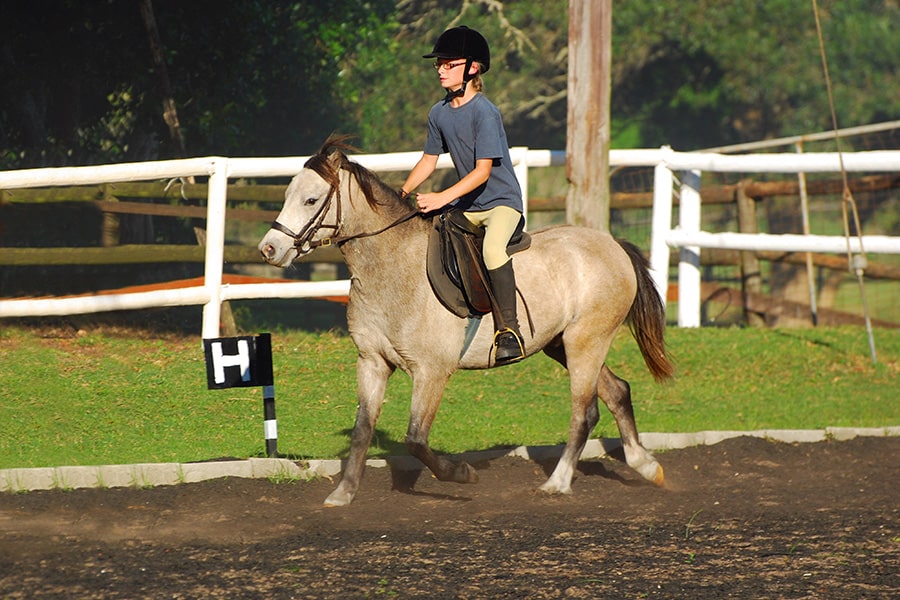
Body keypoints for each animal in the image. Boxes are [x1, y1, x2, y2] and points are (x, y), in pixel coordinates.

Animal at [256, 136, 672, 506]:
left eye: (311, 200)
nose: (269, 249)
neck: (392, 269)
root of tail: (612, 244)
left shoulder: (431, 371)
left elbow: (416, 439)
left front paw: (461, 474)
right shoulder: (372, 362)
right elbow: (363, 429)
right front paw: (343, 493)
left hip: (586, 342)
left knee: (583, 412)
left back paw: (557, 483)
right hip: (563, 344)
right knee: (617, 392)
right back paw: (646, 467)